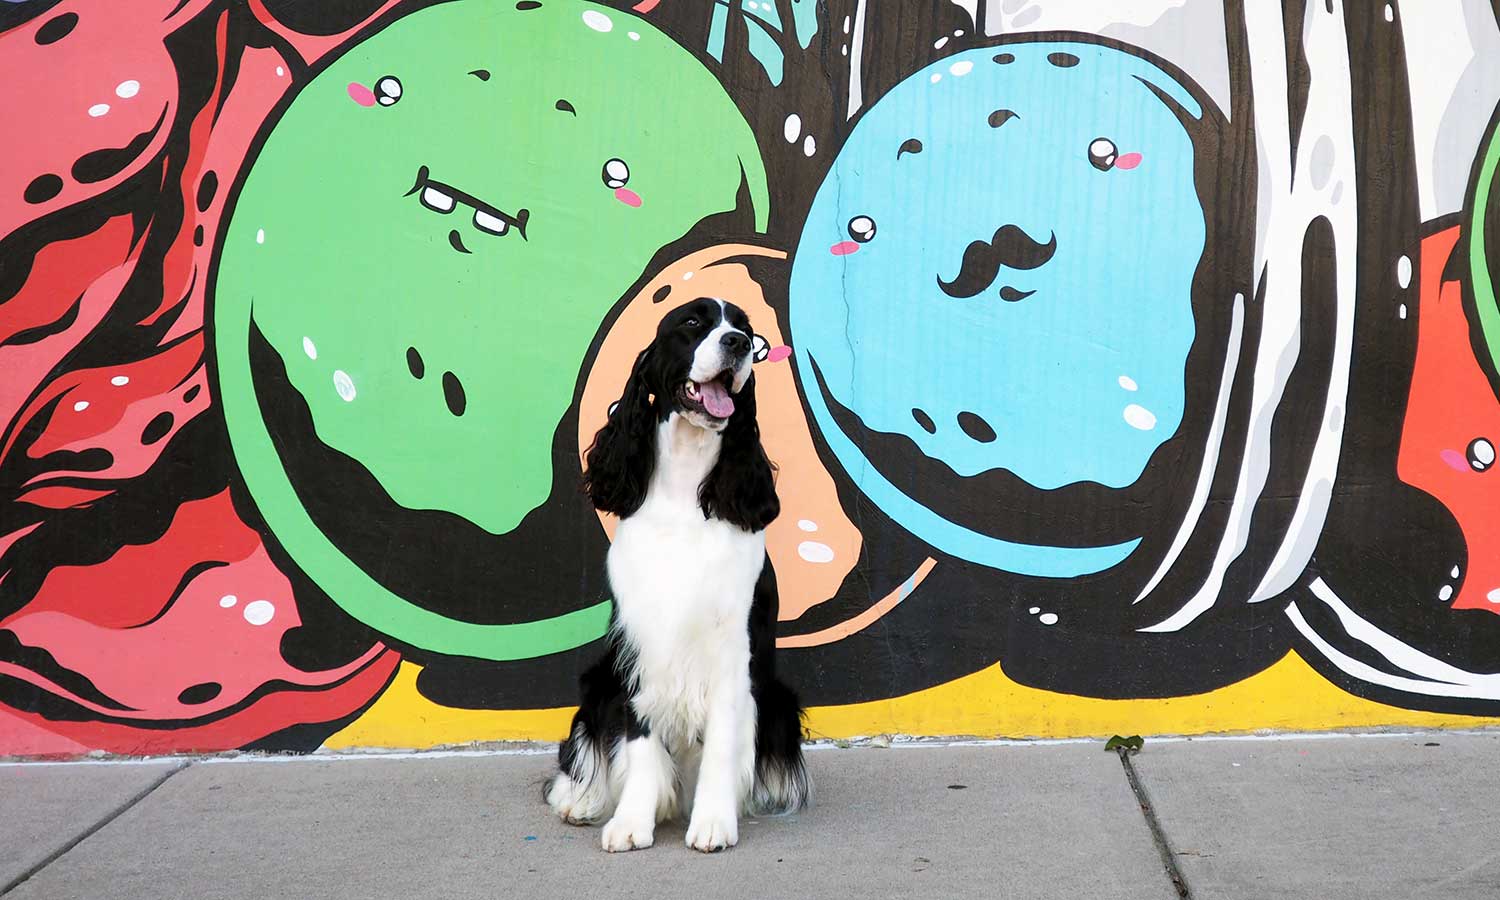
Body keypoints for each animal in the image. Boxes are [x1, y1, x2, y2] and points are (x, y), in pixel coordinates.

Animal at [549, 300, 816, 852]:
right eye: (692, 323)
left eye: (745, 328)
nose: (737, 343)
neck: (684, 490)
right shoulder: (640, 646)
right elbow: (638, 739)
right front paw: (631, 822)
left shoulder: (732, 649)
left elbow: (722, 742)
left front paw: (713, 822)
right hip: (600, 678)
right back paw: (578, 801)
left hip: (776, 696)